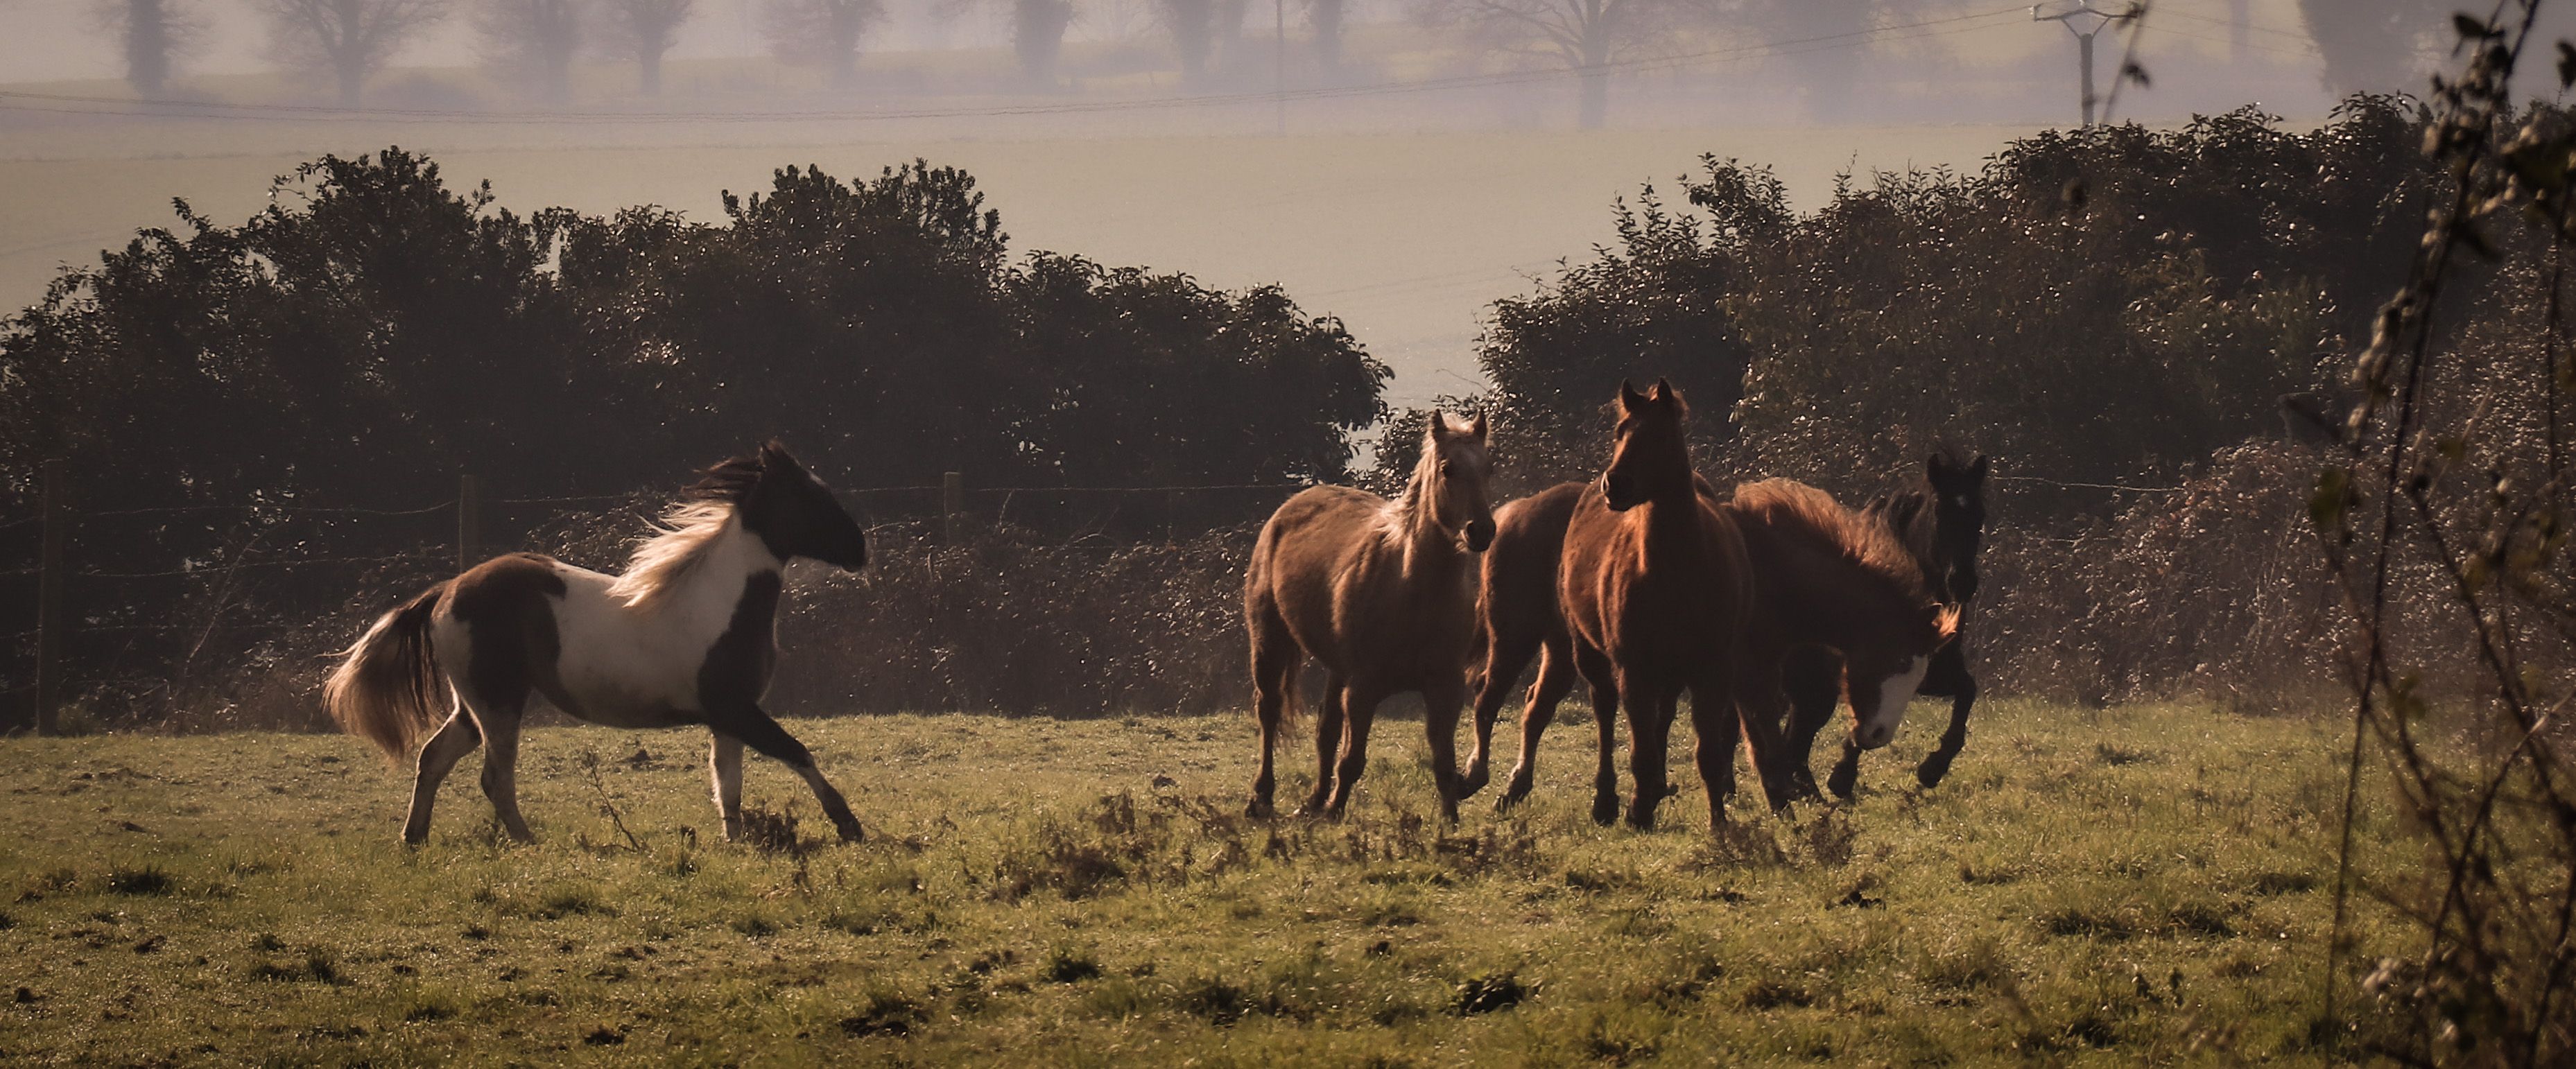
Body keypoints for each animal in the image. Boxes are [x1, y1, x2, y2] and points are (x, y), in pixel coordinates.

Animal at [324, 441, 873, 846]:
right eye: (811, 498)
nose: (860, 549)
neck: (720, 602)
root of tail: (446, 591)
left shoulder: (727, 716)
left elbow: (729, 786)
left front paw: (735, 844)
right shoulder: (735, 709)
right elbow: (795, 753)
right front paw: (848, 825)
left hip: (474, 706)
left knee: (433, 759)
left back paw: (414, 838)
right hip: (500, 705)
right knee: (494, 778)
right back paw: (527, 842)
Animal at [1244, 411, 1496, 823]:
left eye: (1488, 469)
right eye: (1448, 468)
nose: (1481, 531)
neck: (1412, 588)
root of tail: (1290, 507)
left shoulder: (1445, 689)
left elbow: (1443, 763)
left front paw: (1451, 823)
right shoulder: (1364, 688)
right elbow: (1352, 760)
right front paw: (1335, 811)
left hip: (1336, 668)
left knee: (1326, 729)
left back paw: (1313, 801)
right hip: (1270, 641)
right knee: (1269, 712)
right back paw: (1262, 797)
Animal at [1557, 379, 1791, 830]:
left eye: (1661, 436)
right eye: (1621, 432)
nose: (1615, 485)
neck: (1674, 573)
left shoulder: (1711, 669)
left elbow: (1708, 753)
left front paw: (1718, 822)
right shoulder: (1633, 669)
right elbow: (1640, 751)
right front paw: (1638, 812)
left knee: (1662, 720)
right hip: (1592, 655)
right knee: (1606, 714)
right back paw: (1609, 801)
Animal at [1781, 449, 1988, 798]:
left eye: (1980, 516)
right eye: (1939, 512)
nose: (1962, 582)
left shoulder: (1938, 676)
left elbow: (1967, 693)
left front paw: (1933, 768)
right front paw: (1843, 776)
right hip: (1811, 691)